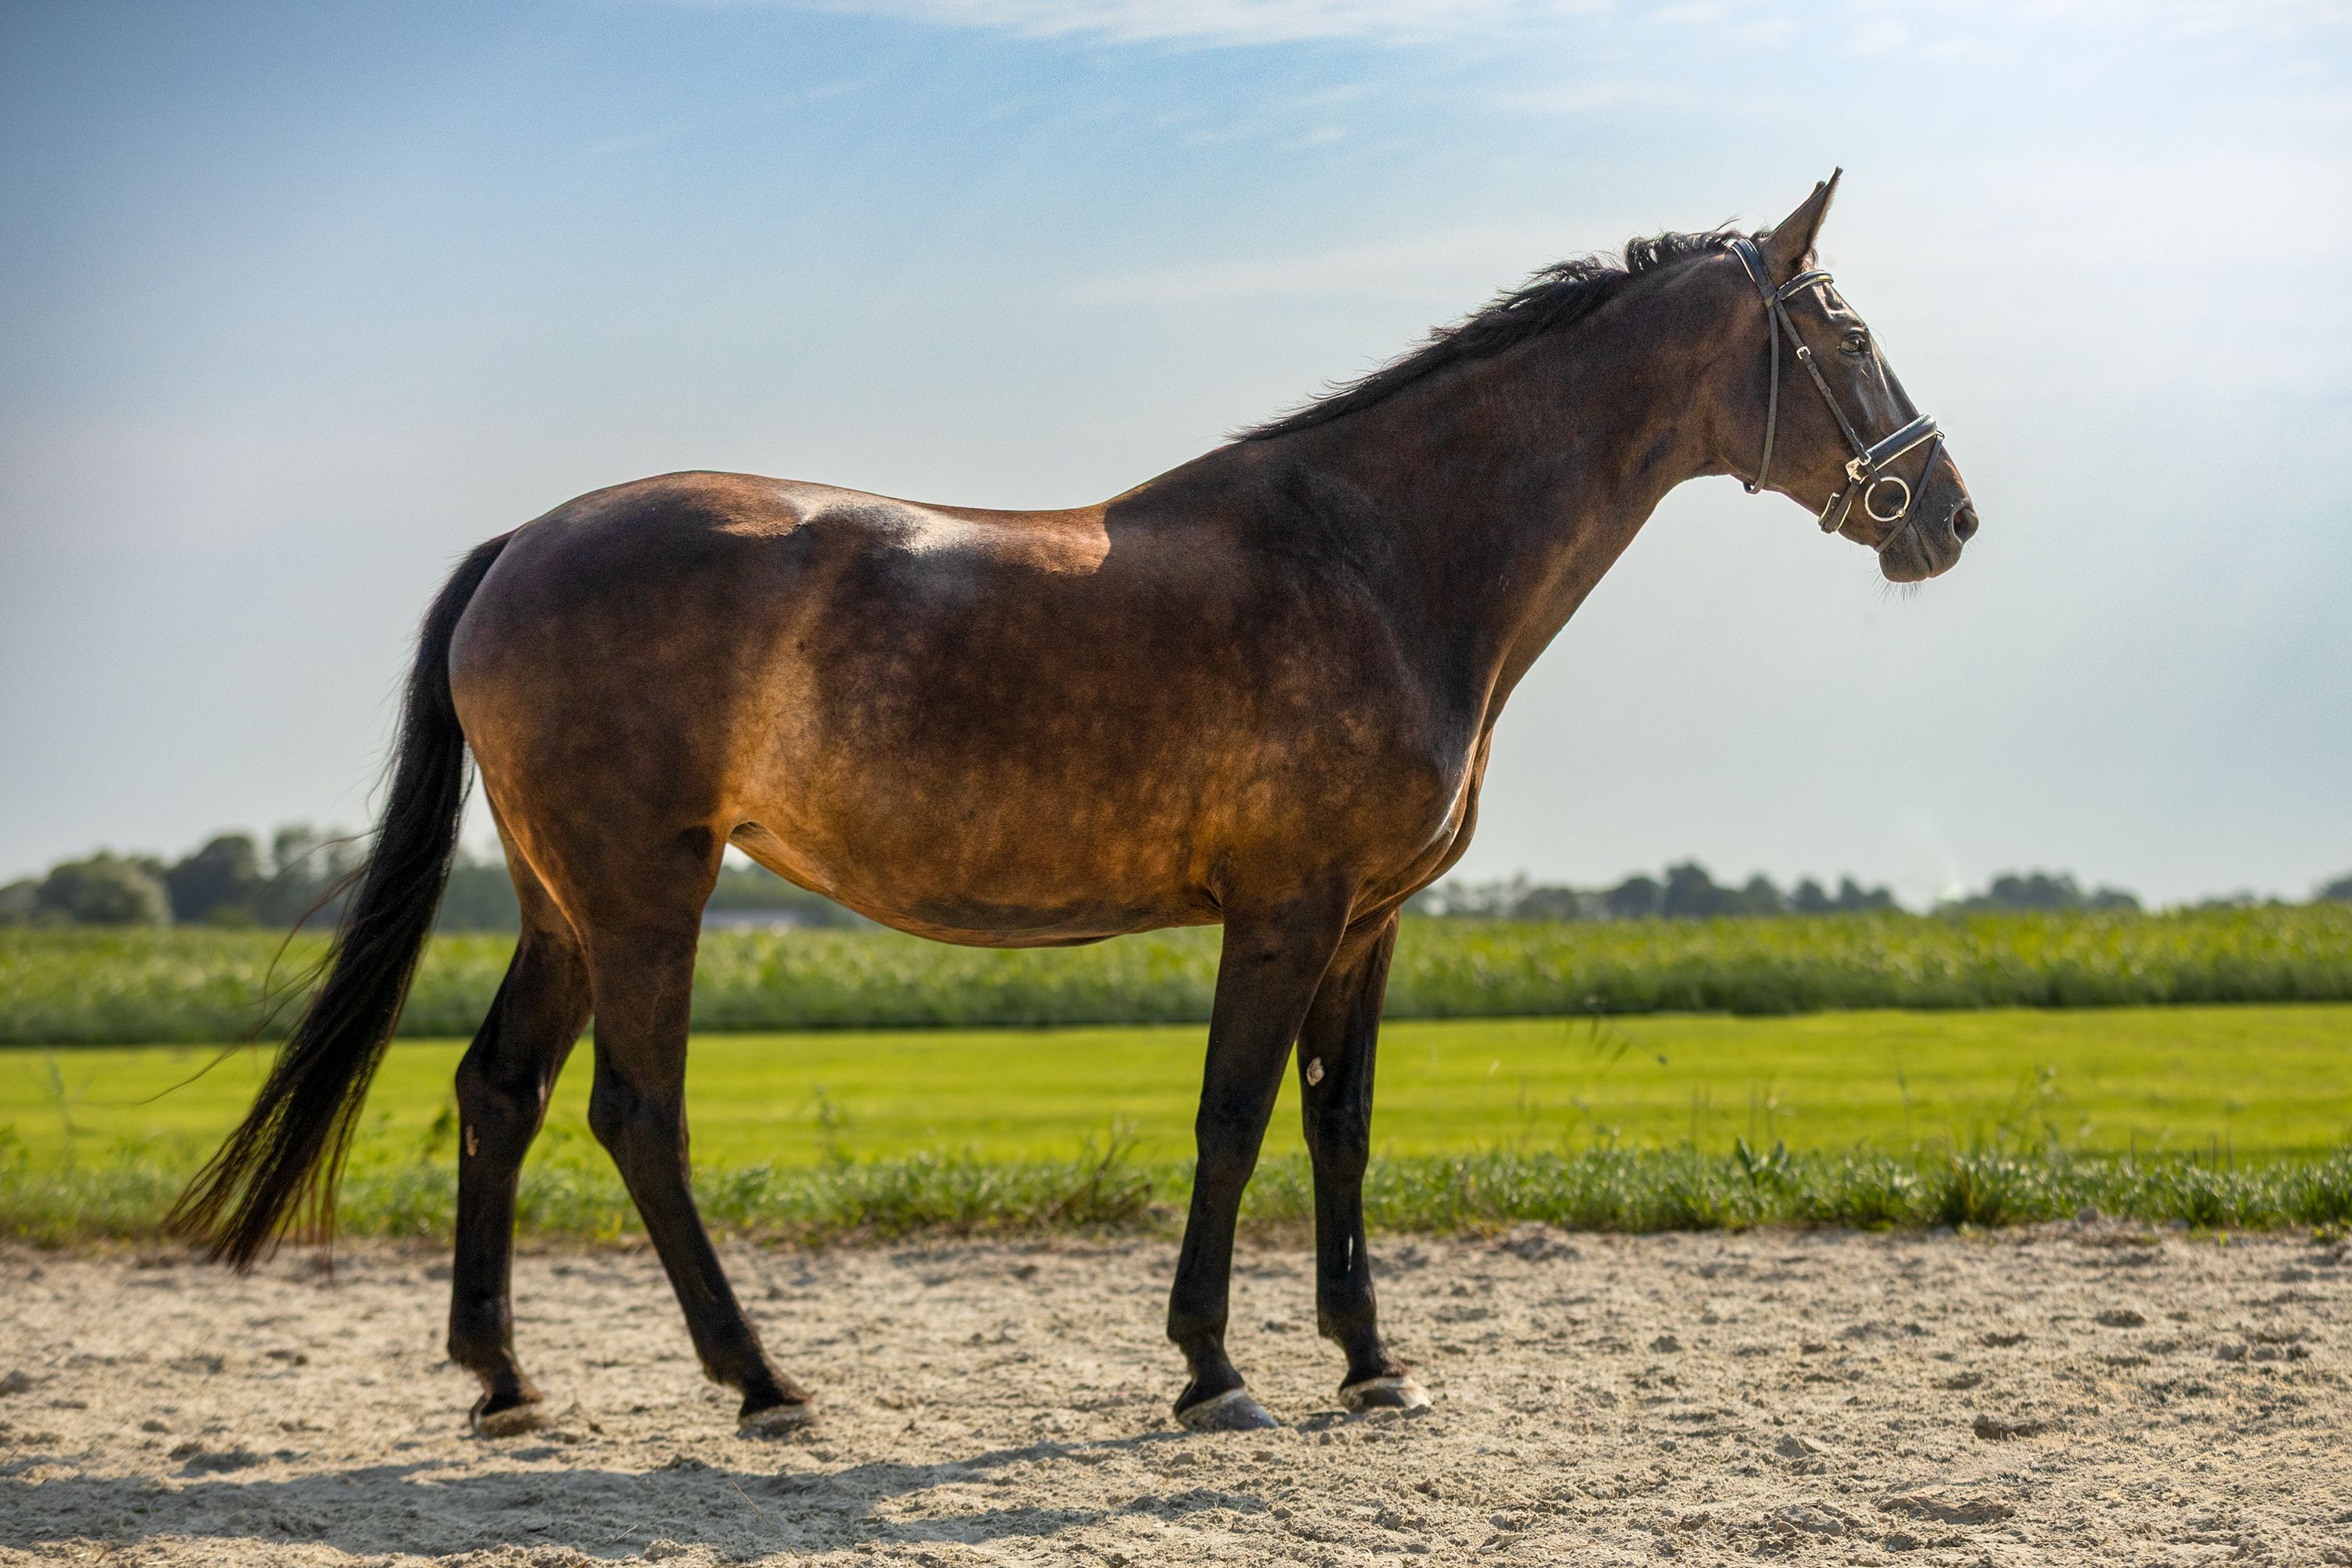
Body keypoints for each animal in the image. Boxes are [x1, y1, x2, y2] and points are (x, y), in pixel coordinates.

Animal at [173, 172, 1977, 1436]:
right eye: (1841, 330)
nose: (1946, 513)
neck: (1382, 555)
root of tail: (520, 547)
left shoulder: (1370, 925)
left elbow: (1339, 1128)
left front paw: (1370, 1364)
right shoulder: (1286, 912)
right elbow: (1235, 1121)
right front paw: (1212, 1371)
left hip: (565, 899)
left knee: (501, 1092)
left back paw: (505, 1380)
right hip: (642, 893)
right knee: (635, 1113)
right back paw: (762, 1381)